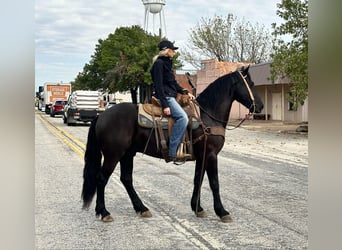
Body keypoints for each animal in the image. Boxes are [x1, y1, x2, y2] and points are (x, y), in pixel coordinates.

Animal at [81, 65, 264, 223]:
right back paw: (104, 212)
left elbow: (198, 180)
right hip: (113, 154)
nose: (260, 106)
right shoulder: (211, 154)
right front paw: (222, 212)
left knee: (126, 179)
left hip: (127, 154)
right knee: (102, 178)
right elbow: (214, 183)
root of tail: (101, 115)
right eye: (251, 84)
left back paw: (142, 208)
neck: (207, 116)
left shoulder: (202, 156)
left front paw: (197, 208)